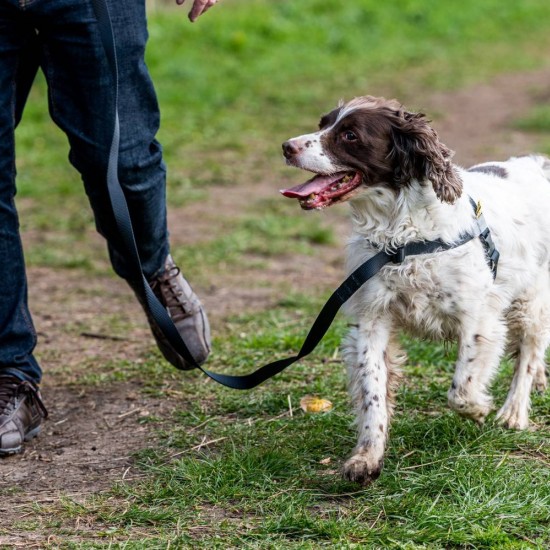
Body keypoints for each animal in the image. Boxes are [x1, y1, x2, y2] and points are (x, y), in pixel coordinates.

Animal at [282, 96, 550, 488]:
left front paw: (480, 408)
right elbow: (373, 390)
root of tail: (535, 164)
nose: (286, 146)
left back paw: (513, 412)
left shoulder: (480, 319)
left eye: (349, 135)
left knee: (529, 353)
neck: (402, 237)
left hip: (531, 300)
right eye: (323, 124)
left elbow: (460, 389)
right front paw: (366, 457)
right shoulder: (373, 319)